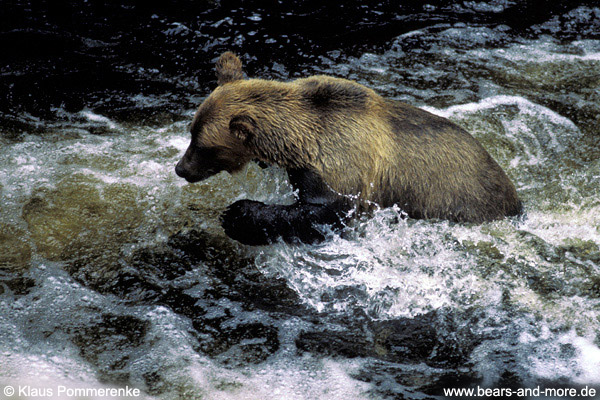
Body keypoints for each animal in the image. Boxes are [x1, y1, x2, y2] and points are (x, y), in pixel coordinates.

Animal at [175, 50, 520, 244]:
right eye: (191, 131)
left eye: (203, 145)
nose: (180, 168)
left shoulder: (342, 170)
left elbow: (324, 213)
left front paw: (237, 213)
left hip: (463, 199)